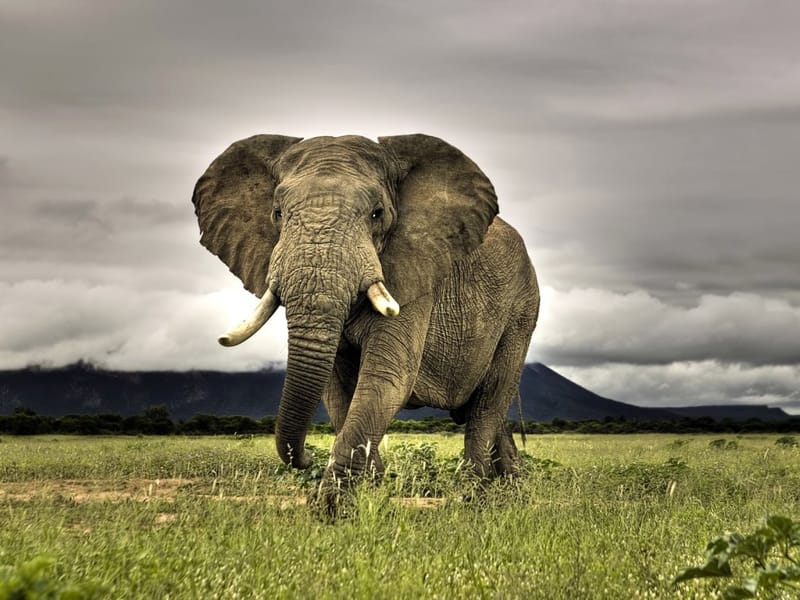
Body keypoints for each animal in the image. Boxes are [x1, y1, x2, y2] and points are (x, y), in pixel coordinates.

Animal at [192, 133, 539, 510]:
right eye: (277, 213)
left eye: (377, 214)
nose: (306, 458)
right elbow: (336, 389)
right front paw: (372, 492)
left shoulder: (413, 276)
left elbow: (386, 376)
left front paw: (332, 509)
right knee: (486, 410)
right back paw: (511, 491)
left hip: (522, 310)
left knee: (488, 404)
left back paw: (475, 499)